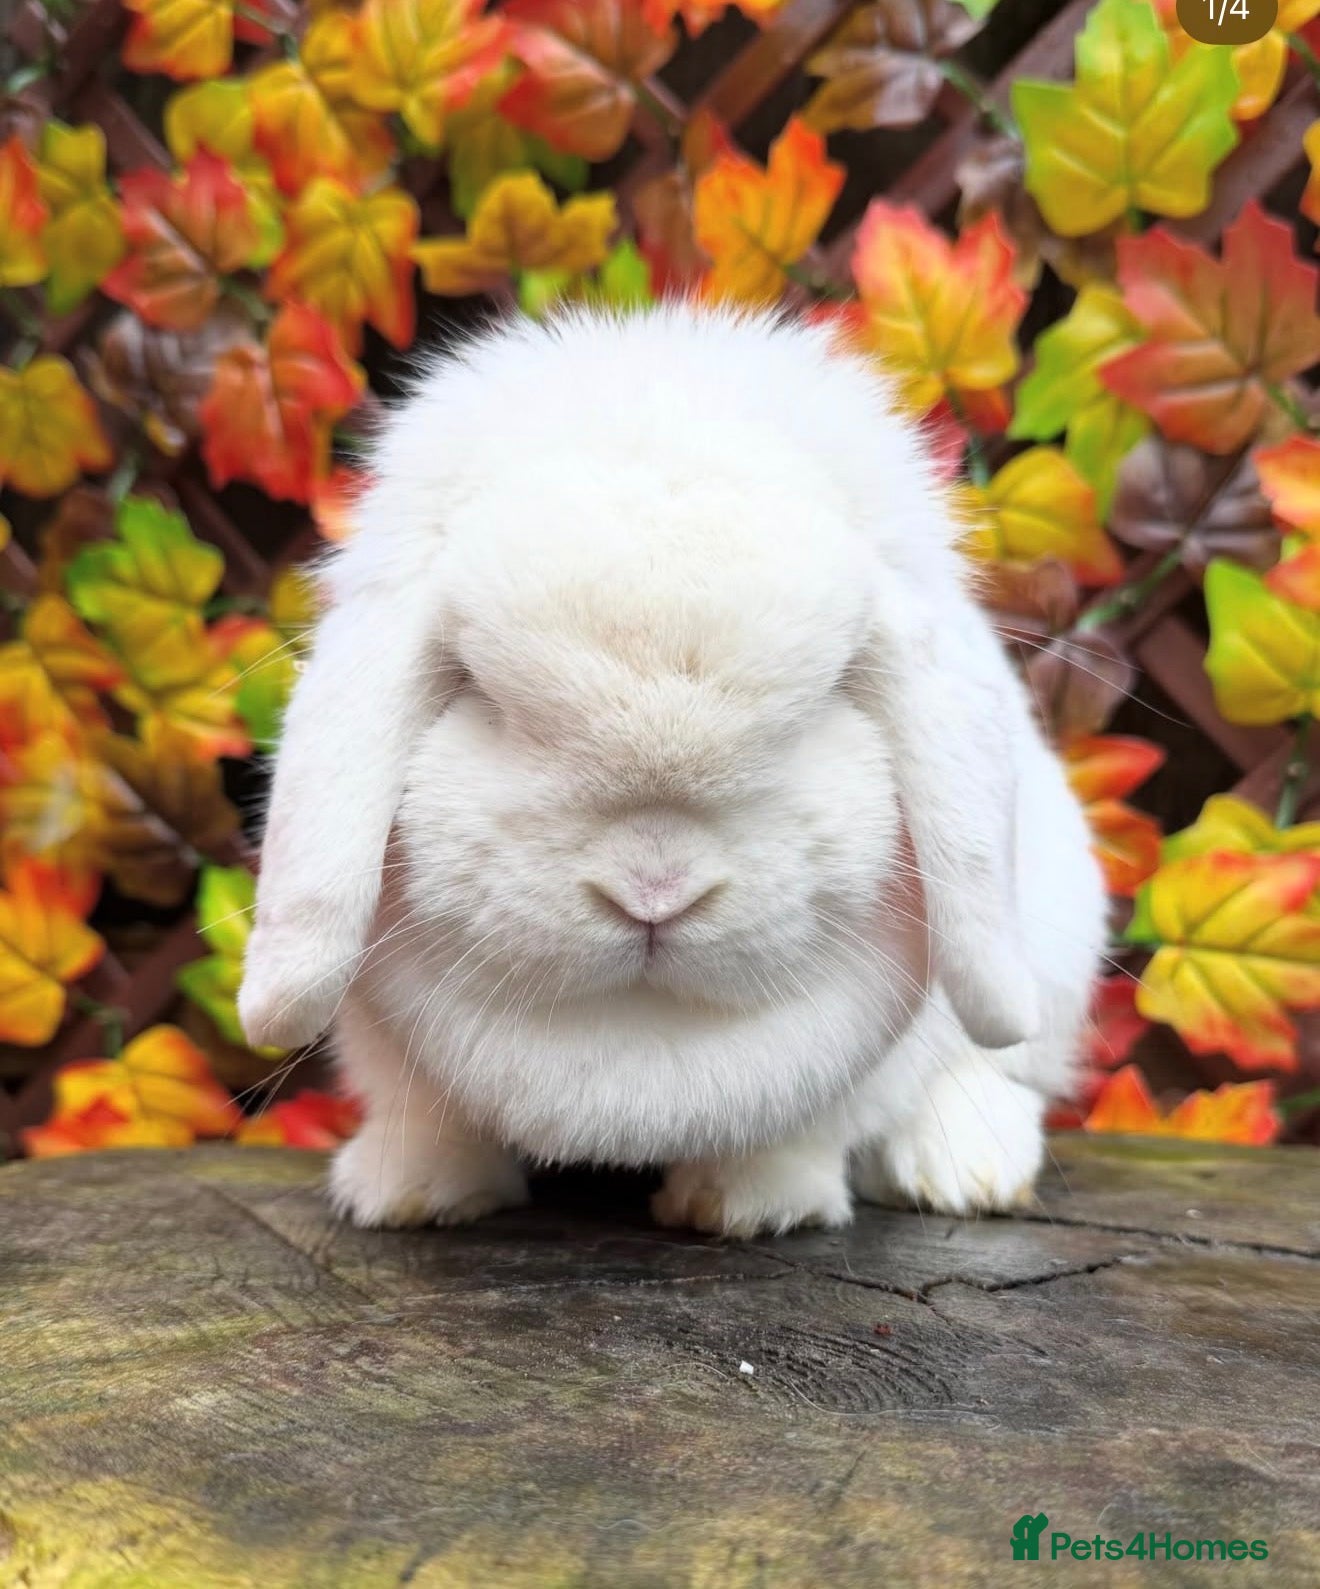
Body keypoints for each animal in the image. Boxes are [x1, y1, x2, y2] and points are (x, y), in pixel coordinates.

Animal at [238, 303, 1107, 1238]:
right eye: (483, 694)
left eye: (825, 698)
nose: (654, 889)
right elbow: (429, 1116)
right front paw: (411, 1192)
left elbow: (801, 1129)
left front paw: (744, 1206)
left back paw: (967, 1169)